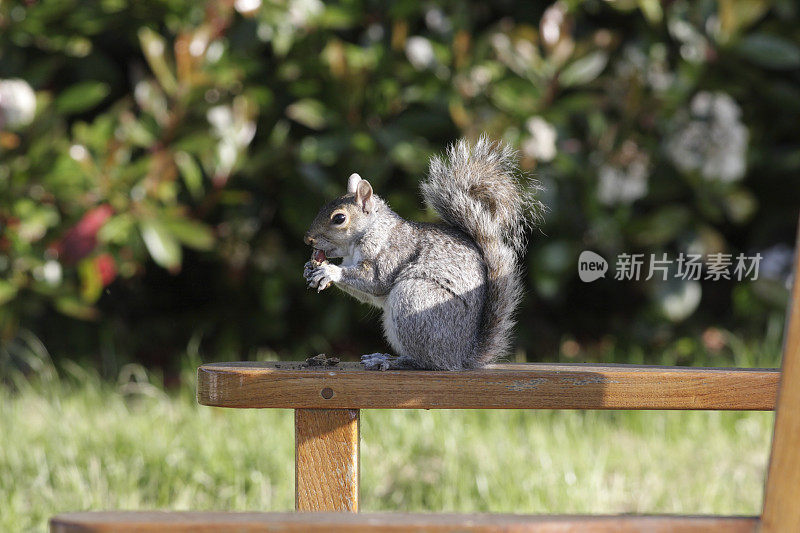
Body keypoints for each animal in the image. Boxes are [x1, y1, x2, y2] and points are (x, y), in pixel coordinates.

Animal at [304, 135, 540, 370]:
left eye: (339, 218)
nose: (308, 239)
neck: (370, 231)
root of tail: (461, 356)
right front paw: (310, 269)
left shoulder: (392, 253)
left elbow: (374, 281)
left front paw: (329, 271)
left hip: (414, 300)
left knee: (427, 361)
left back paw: (392, 361)